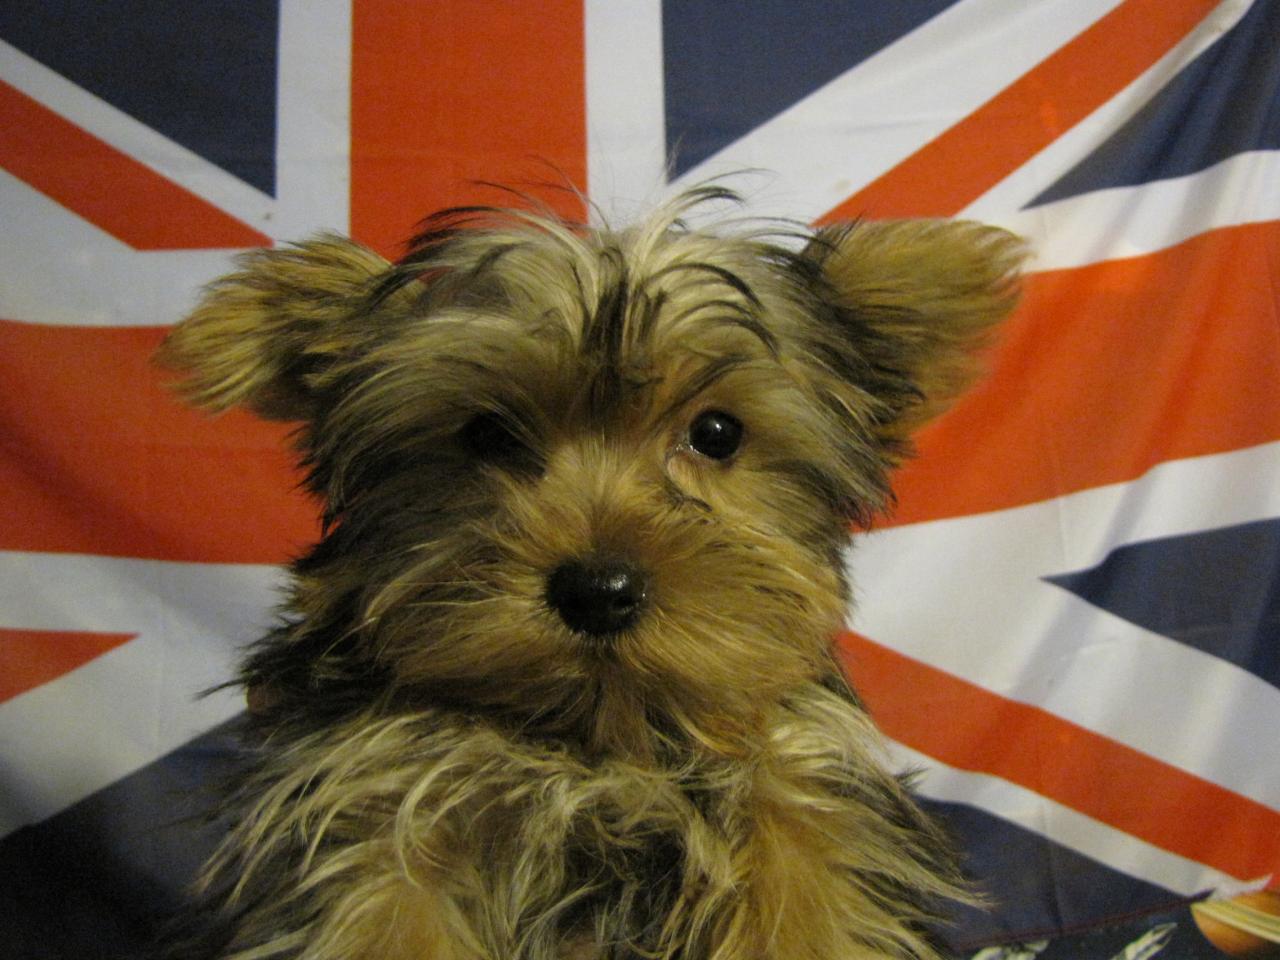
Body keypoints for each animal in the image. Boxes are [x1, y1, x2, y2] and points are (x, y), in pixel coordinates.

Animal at [158, 187, 1023, 960]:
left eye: (717, 432)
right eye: (487, 434)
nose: (597, 591)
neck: (597, 742)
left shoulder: (797, 796)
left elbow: (808, 910)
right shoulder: (376, 804)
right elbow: (385, 917)